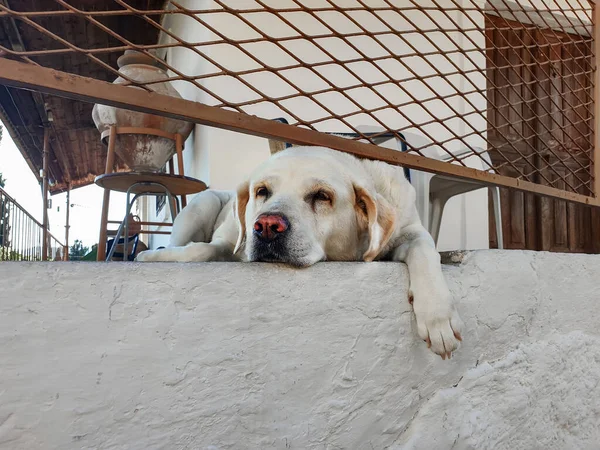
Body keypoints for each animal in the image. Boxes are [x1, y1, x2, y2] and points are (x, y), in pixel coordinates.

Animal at [137, 148, 464, 358]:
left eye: (321, 196)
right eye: (262, 191)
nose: (267, 226)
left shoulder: (410, 231)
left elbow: (425, 250)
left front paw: (438, 318)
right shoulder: (226, 243)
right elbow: (202, 251)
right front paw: (154, 257)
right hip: (201, 204)